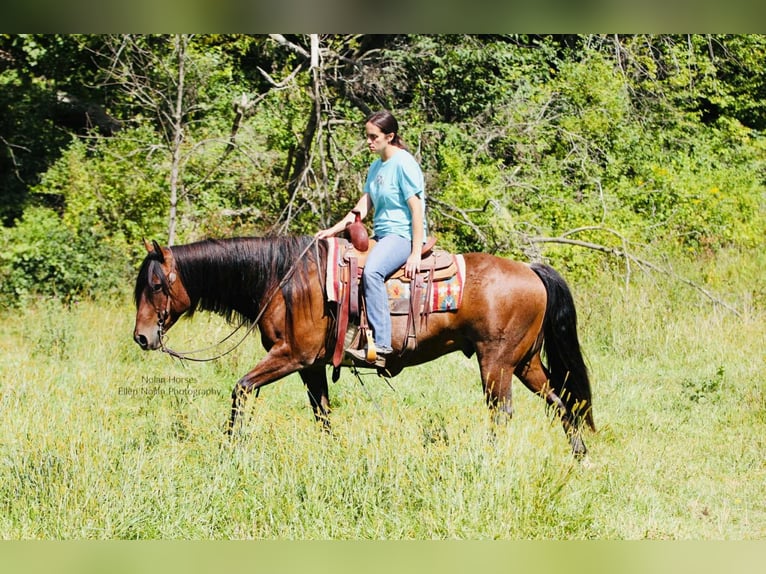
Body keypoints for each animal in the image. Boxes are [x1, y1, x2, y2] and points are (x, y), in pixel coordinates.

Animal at [133, 236, 595, 457]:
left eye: (155, 285)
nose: (142, 336)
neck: (285, 281)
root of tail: (531, 271)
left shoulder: (291, 356)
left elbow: (241, 388)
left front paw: (229, 446)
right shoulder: (311, 365)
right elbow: (322, 412)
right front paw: (333, 452)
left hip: (496, 363)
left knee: (502, 412)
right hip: (524, 362)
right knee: (562, 402)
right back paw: (580, 456)